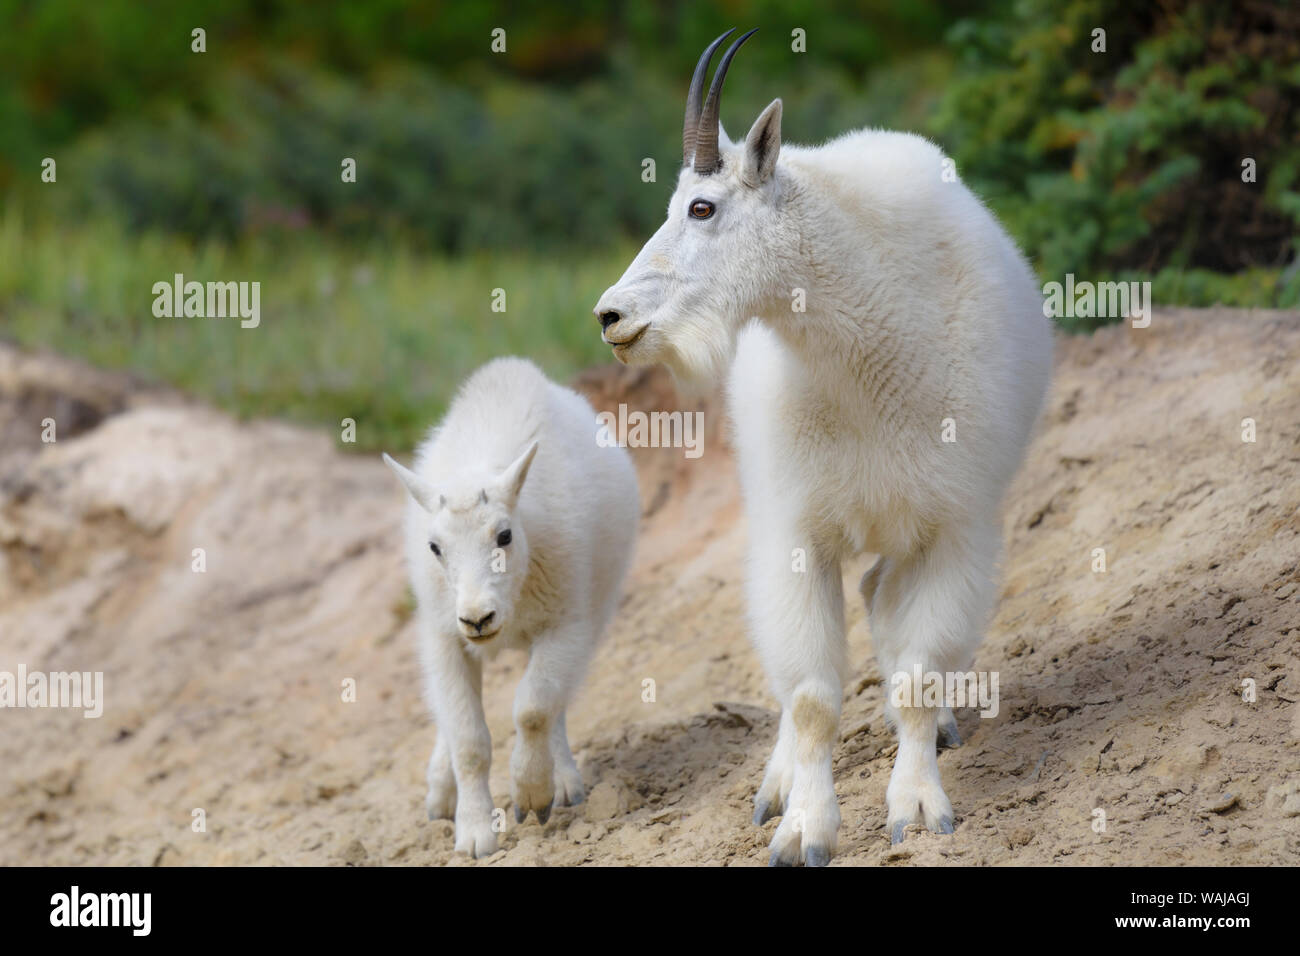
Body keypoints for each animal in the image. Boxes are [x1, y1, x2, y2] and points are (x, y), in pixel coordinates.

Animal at [595, 29, 1050, 868]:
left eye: (702, 206)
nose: (611, 316)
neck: (862, 358)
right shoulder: (797, 532)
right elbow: (808, 698)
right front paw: (804, 827)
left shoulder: (955, 528)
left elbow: (918, 675)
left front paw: (917, 806)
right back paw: (777, 782)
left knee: (883, 604)